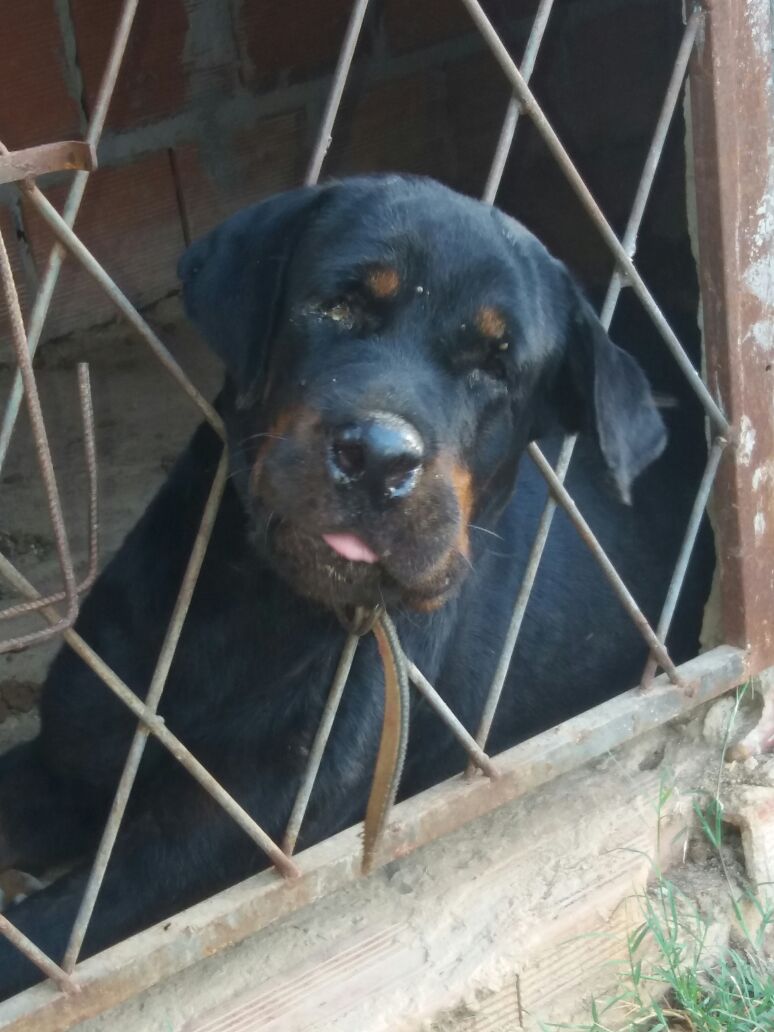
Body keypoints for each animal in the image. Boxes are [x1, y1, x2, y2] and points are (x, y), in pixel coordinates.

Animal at [0, 175, 710, 998]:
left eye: (498, 368)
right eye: (337, 307)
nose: (379, 457)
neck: (254, 615)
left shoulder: (217, 837)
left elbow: (38, 936)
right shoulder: (71, 755)